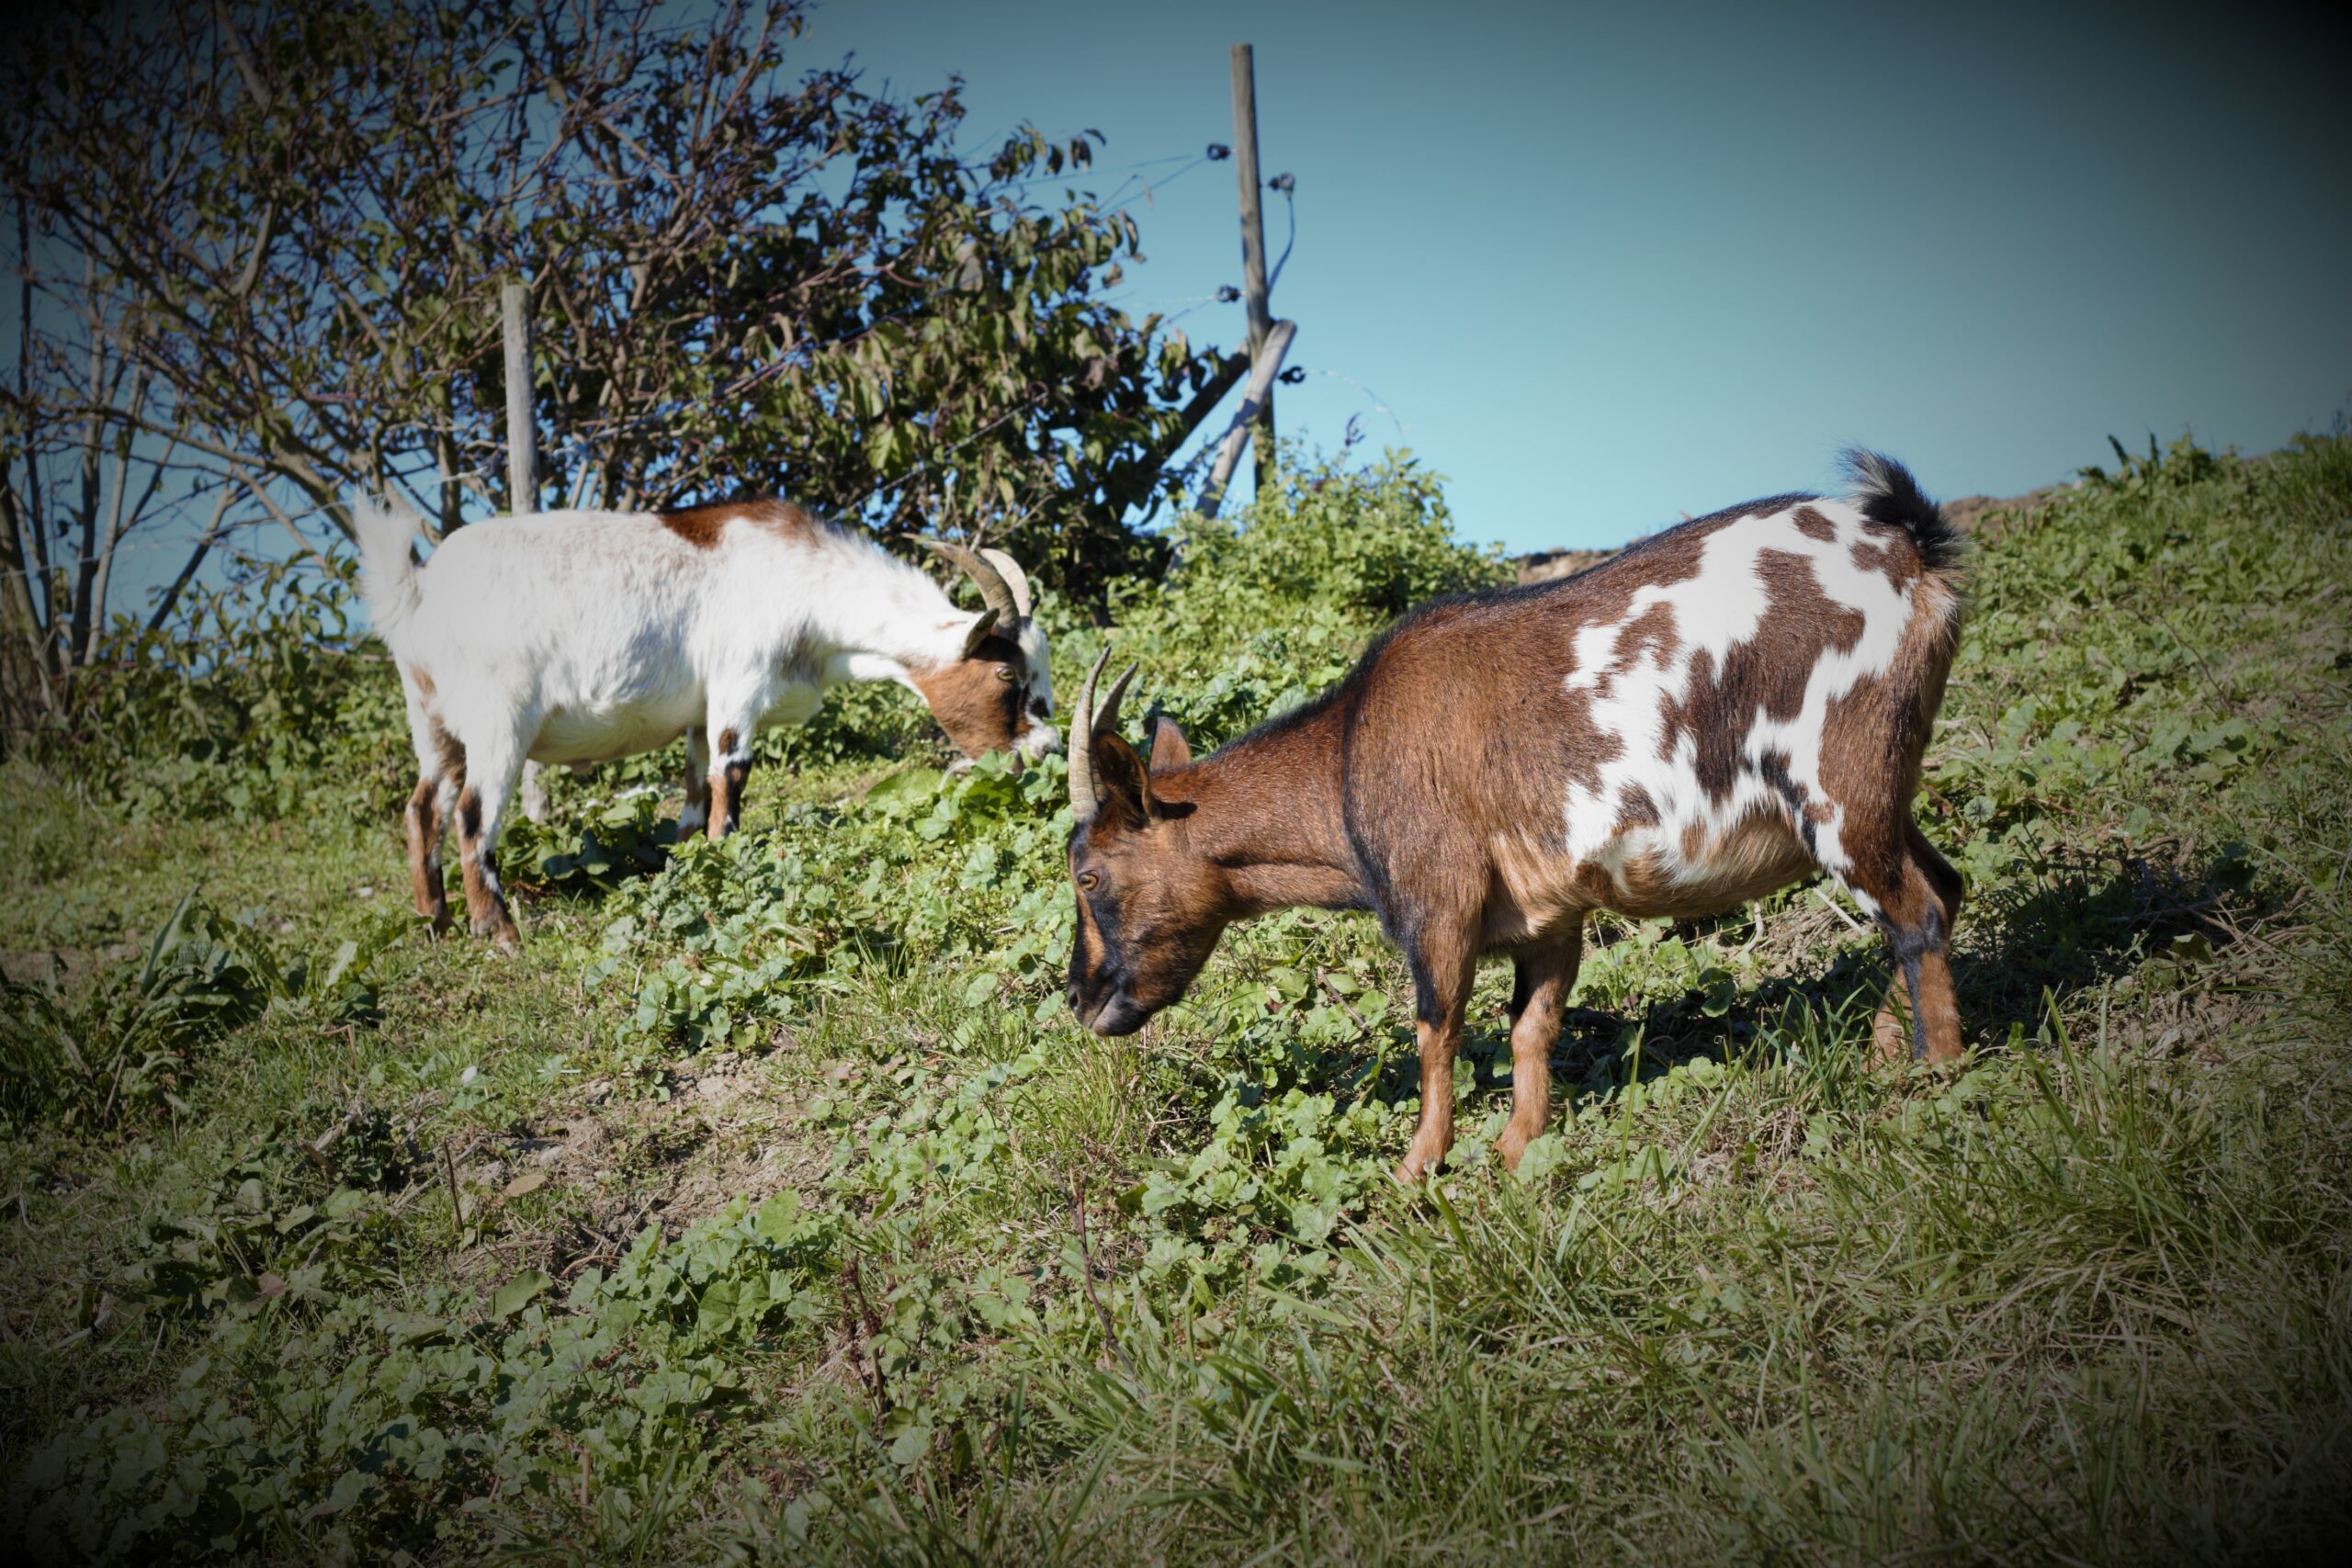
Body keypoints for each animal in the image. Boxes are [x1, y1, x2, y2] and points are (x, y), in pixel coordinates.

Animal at [357, 495, 1058, 949]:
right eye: (1007, 676)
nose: (1050, 749)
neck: (805, 583)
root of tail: (419, 592)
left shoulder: (698, 715)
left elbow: (695, 797)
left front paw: (694, 867)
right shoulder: (737, 685)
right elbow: (733, 778)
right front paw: (732, 863)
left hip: (433, 721)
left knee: (422, 808)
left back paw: (434, 922)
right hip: (499, 718)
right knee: (473, 814)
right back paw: (497, 932)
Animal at [1068, 451, 1966, 1175]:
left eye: (1087, 874)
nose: (1080, 996)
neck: (1347, 755)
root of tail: (1910, 548)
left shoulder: (1437, 898)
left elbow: (1435, 1029)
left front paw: (1419, 1166)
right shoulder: (1547, 914)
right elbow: (1532, 1026)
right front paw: (1515, 1149)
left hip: (1837, 782)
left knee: (1915, 911)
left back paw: (1939, 1076)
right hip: (1887, 782)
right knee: (1943, 887)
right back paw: (1890, 1049)